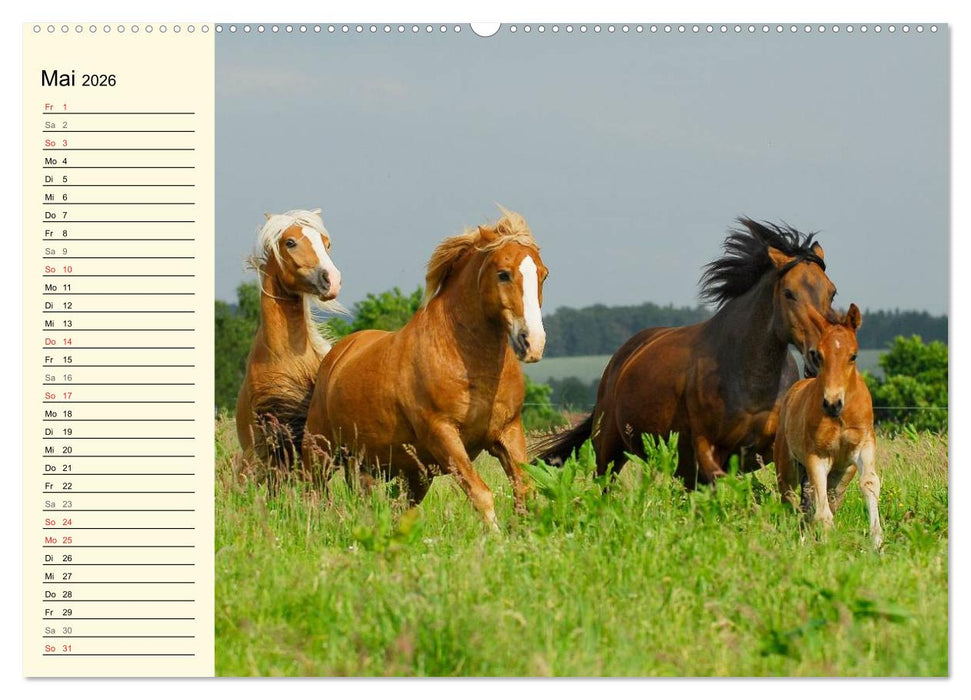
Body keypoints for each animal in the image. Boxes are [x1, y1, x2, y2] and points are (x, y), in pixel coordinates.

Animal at [302, 208, 548, 530]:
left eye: (543, 274)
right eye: (503, 274)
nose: (533, 342)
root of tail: (336, 355)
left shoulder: (508, 432)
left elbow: (524, 489)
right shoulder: (443, 434)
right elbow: (480, 493)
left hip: (393, 469)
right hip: (320, 452)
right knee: (313, 494)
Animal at [536, 218, 837, 488]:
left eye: (831, 292)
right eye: (789, 293)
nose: (818, 356)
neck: (748, 377)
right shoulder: (706, 446)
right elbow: (729, 485)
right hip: (609, 448)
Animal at [774, 304, 883, 547]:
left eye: (853, 356)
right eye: (819, 355)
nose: (832, 403)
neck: (841, 417)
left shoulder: (864, 446)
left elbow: (869, 483)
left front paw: (877, 541)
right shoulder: (817, 456)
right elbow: (821, 509)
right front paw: (826, 542)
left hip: (842, 475)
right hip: (787, 467)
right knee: (790, 499)